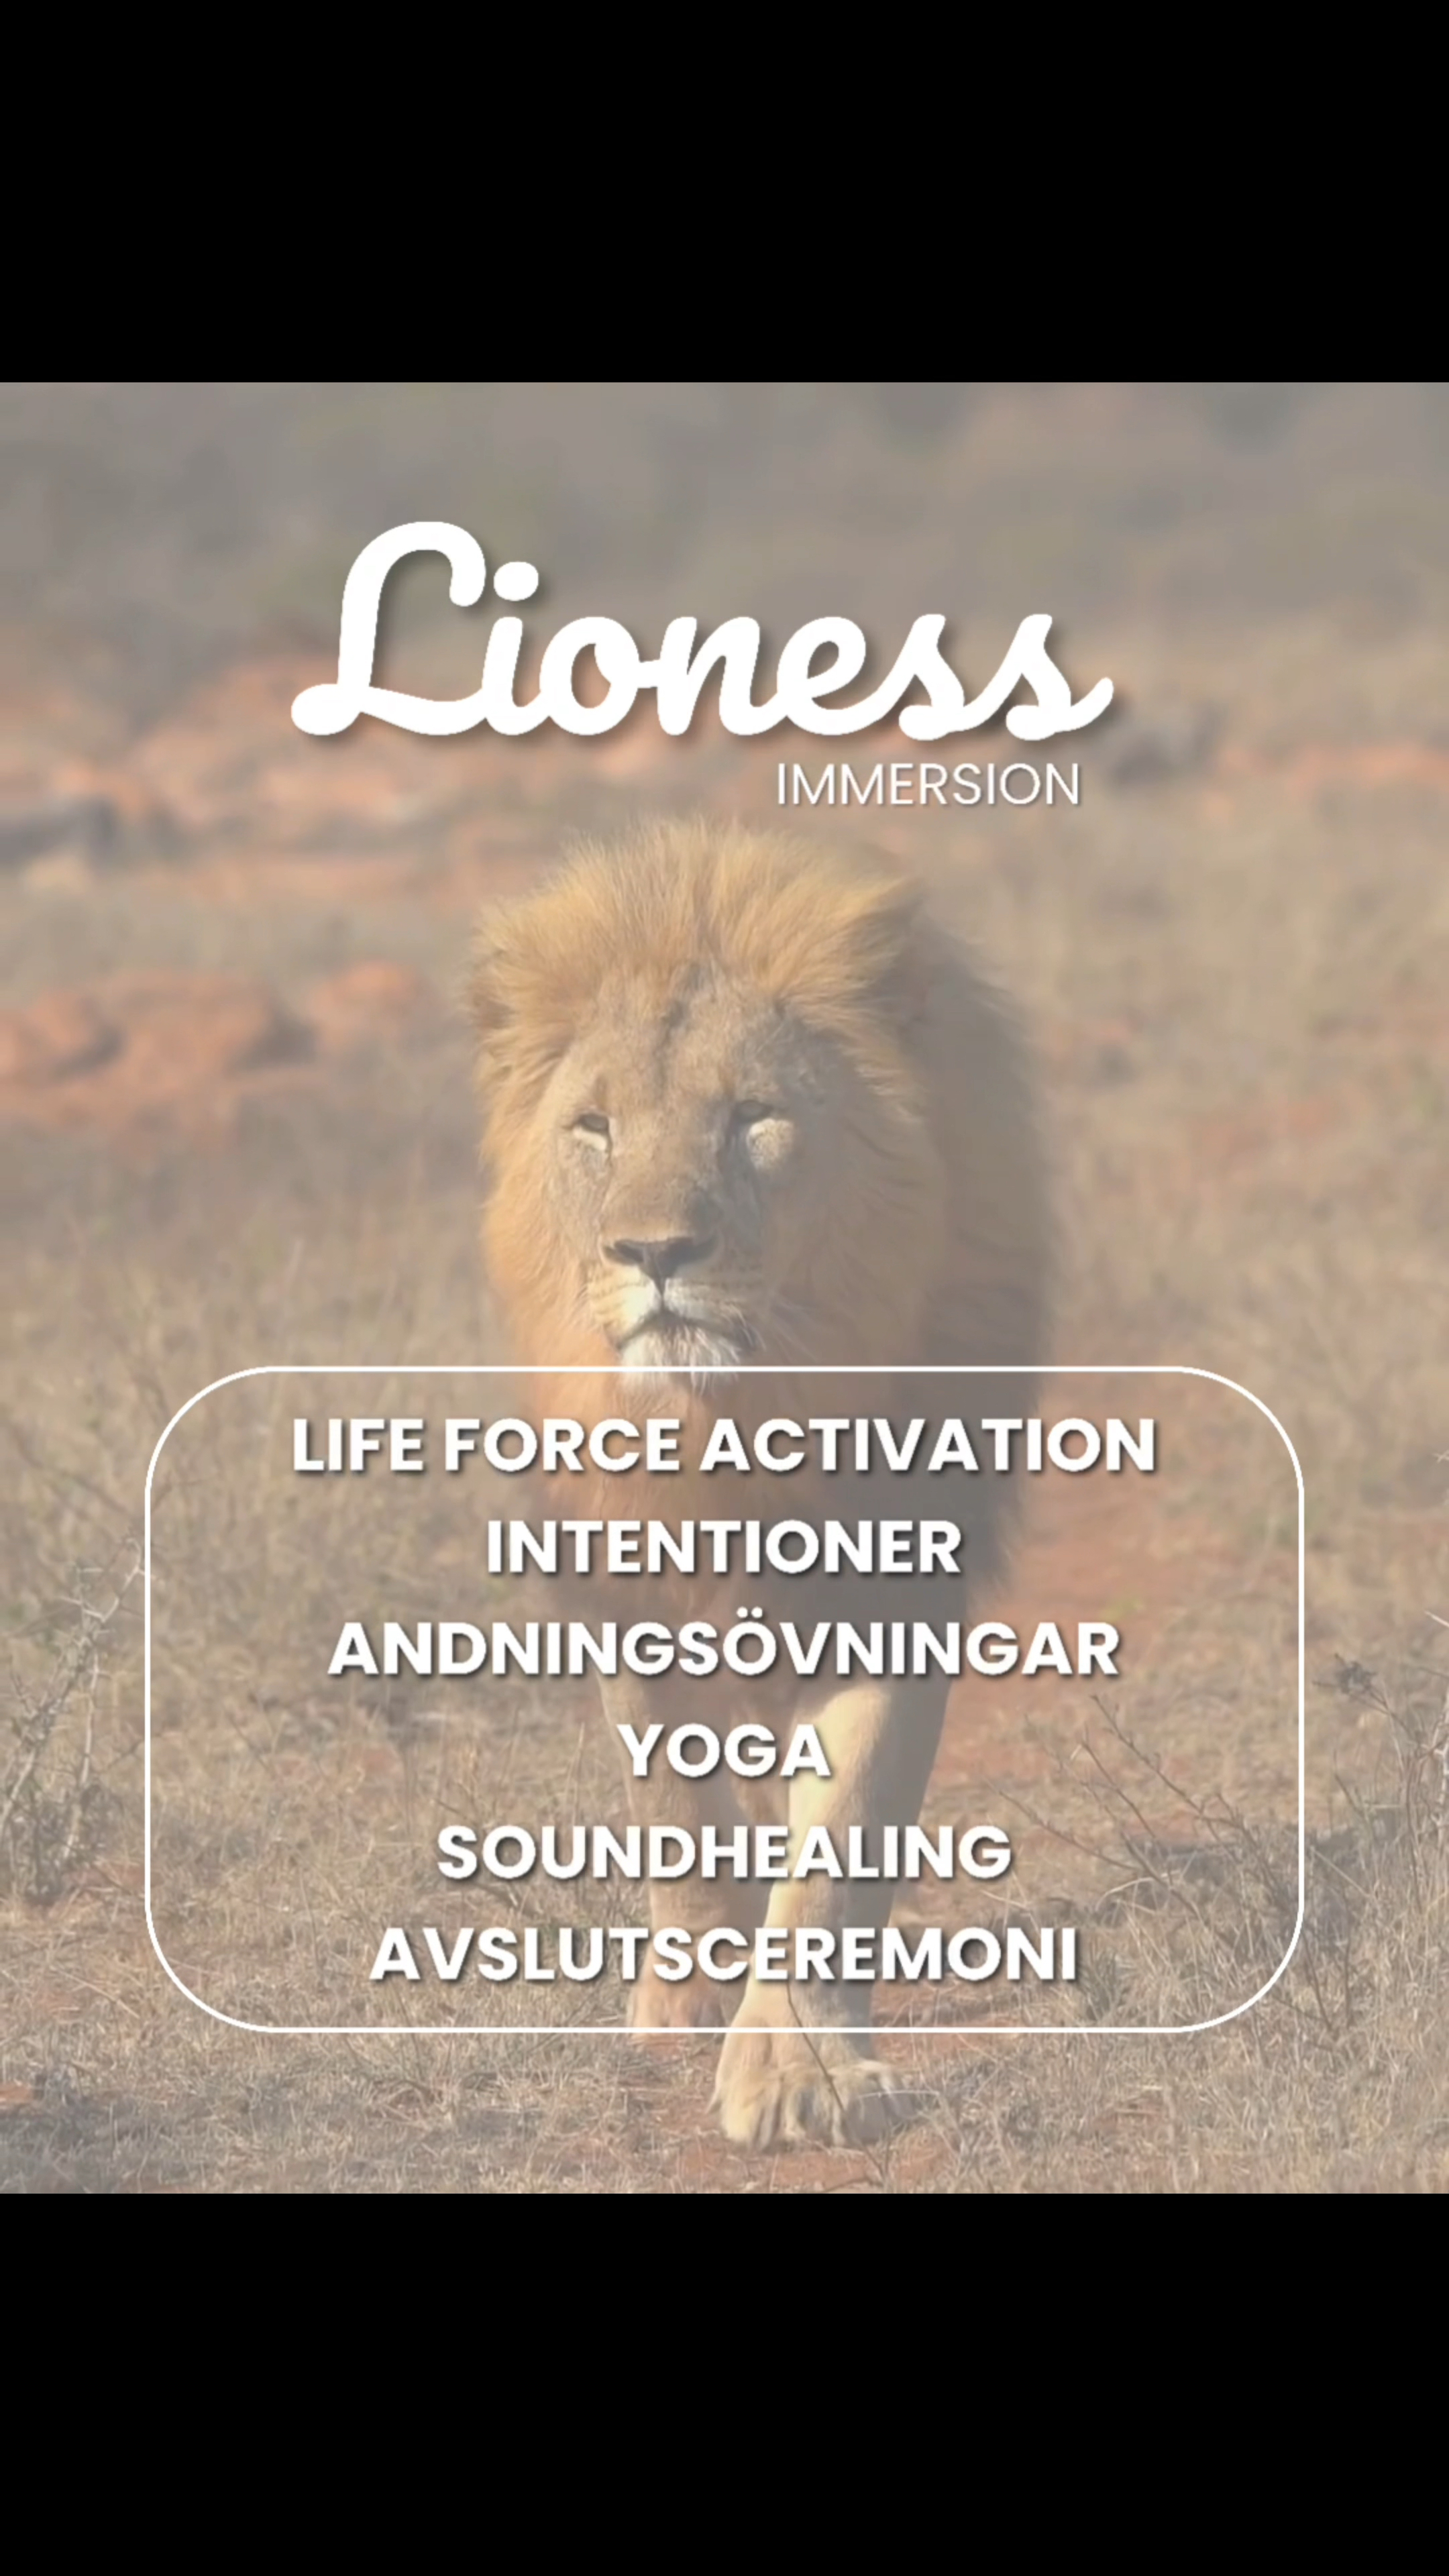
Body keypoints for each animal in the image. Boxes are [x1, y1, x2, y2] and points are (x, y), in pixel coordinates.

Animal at [468, 817, 1050, 2150]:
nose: (655, 1251)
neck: (731, 1426)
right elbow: (670, 1799)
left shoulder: (893, 1580)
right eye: (595, 1128)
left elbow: (839, 1844)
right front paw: (690, 1992)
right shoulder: (616, 1573)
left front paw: (798, 2073)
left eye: (753, 1118)